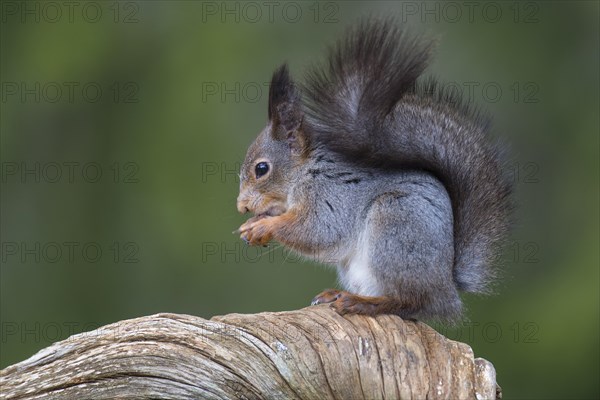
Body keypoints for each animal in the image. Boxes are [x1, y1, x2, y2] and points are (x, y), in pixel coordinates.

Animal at [234, 20, 510, 324]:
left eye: (261, 168)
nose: (241, 206)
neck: (305, 170)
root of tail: (448, 286)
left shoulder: (330, 194)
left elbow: (317, 231)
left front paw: (263, 226)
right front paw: (253, 223)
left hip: (395, 229)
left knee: (413, 301)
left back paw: (363, 303)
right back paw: (338, 295)